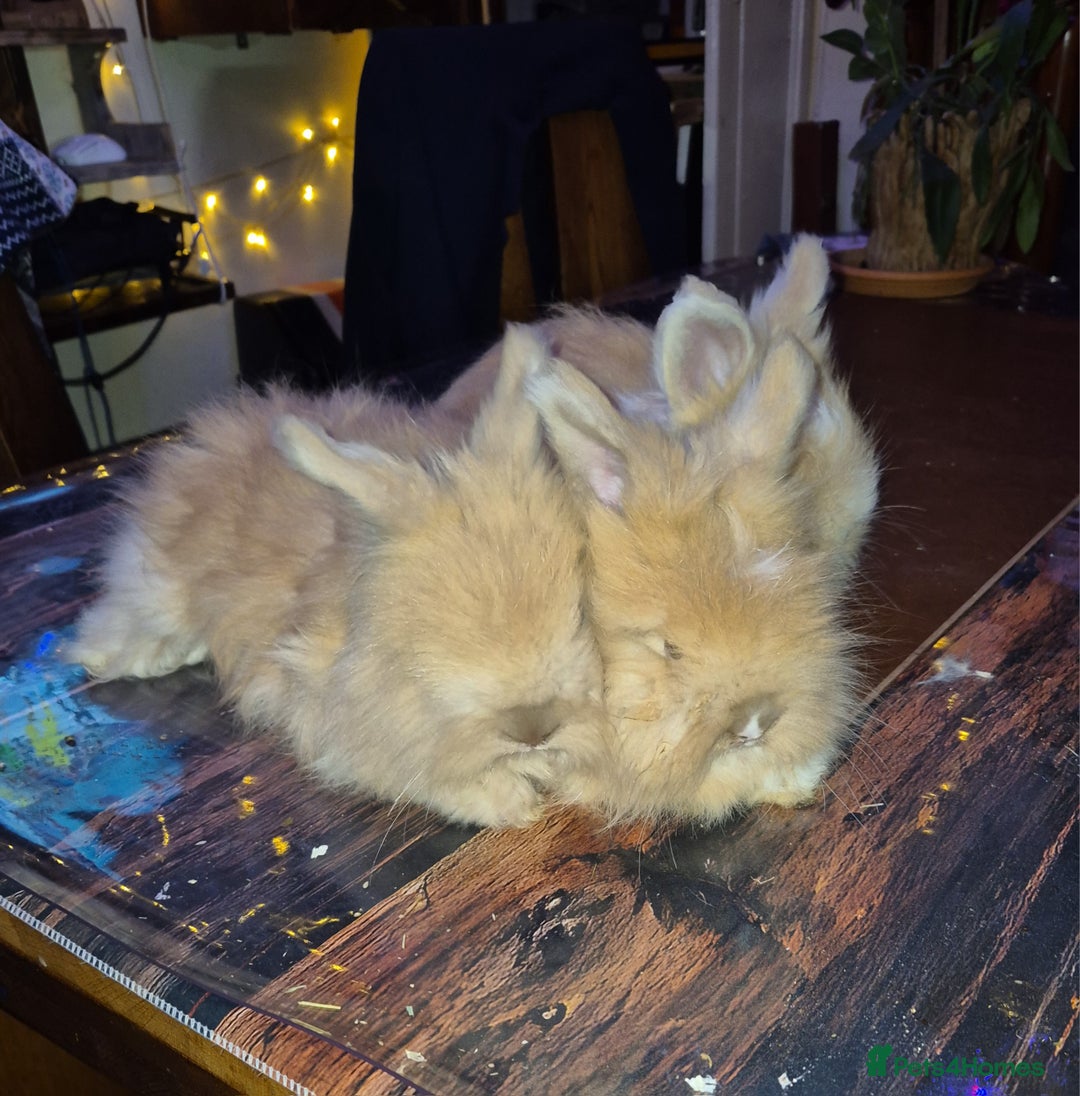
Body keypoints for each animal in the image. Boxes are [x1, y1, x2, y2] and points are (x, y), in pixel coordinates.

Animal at [71, 328, 610, 829]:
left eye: (580, 614)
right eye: (438, 638)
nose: (533, 728)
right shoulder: (330, 712)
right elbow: (407, 769)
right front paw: (509, 801)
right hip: (162, 585)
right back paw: (140, 656)